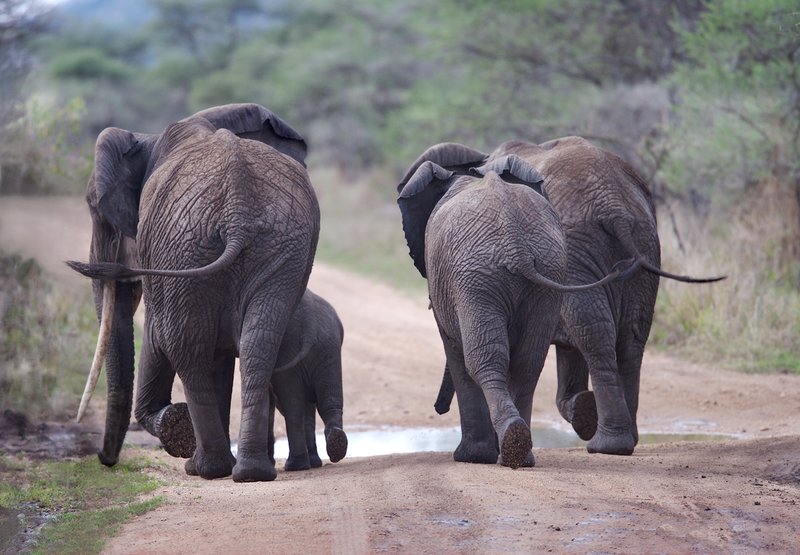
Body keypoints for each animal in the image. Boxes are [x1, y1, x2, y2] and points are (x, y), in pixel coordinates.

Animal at [67, 103, 319, 482]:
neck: (150, 139)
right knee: (258, 343)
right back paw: (250, 472)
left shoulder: (158, 253)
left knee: (184, 345)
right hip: (275, 246)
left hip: (186, 248)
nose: (104, 460)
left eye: (97, 213)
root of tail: (237, 206)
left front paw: (173, 424)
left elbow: (159, 336)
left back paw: (207, 468)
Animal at [396, 149, 635, 468]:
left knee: (484, 359)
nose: (438, 409)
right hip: (545, 274)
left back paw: (502, 449)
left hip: (476, 279)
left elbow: (455, 352)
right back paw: (521, 451)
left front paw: (471, 458)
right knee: (528, 361)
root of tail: (515, 246)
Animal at [428, 137, 724, 456]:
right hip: (640, 247)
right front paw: (581, 408)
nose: (439, 408)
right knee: (629, 338)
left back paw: (606, 445)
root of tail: (613, 201)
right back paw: (622, 441)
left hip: (578, 250)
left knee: (594, 333)